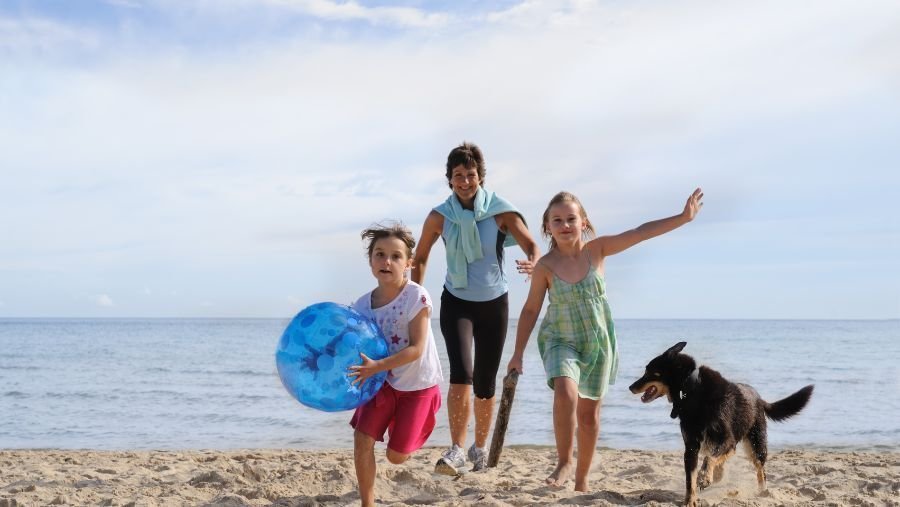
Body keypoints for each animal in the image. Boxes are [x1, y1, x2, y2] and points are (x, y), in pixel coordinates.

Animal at [628, 344, 812, 506]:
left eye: (650, 372)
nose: (630, 387)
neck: (691, 389)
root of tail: (760, 398)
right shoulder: (691, 447)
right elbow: (690, 479)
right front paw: (690, 501)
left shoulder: (726, 439)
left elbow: (710, 458)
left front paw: (704, 477)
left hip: (756, 444)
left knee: (760, 470)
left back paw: (762, 491)